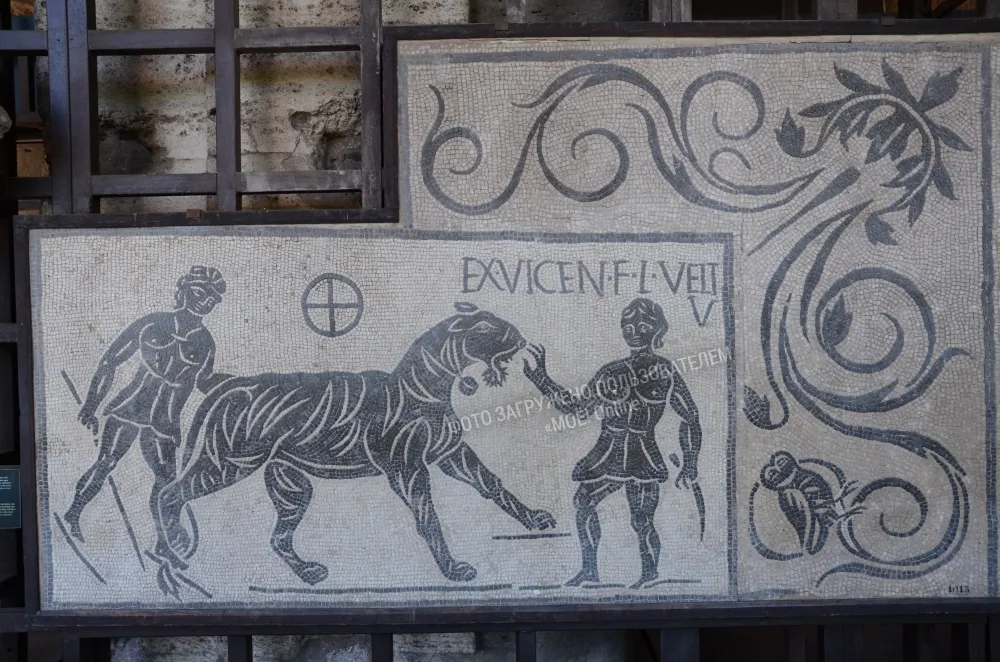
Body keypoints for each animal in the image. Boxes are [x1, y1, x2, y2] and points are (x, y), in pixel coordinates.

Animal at [153, 302, 555, 591]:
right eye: (487, 328)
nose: (519, 336)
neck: (431, 387)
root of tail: (227, 384)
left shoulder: (451, 455)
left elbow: (492, 484)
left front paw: (533, 518)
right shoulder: (408, 471)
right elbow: (429, 518)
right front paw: (453, 569)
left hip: (291, 485)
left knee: (278, 538)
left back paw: (307, 573)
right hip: (228, 464)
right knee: (169, 494)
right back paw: (173, 552)